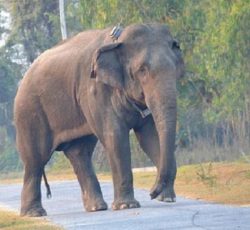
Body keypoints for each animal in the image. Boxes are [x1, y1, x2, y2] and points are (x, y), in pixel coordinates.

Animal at [14, 23, 184, 217]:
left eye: (175, 68)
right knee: (35, 159)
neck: (119, 40)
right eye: (142, 70)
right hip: (29, 112)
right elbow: (115, 136)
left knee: (80, 153)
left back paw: (96, 207)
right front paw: (127, 206)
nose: (152, 193)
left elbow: (149, 137)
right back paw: (34, 213)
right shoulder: (96, 90)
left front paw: (167, 198)